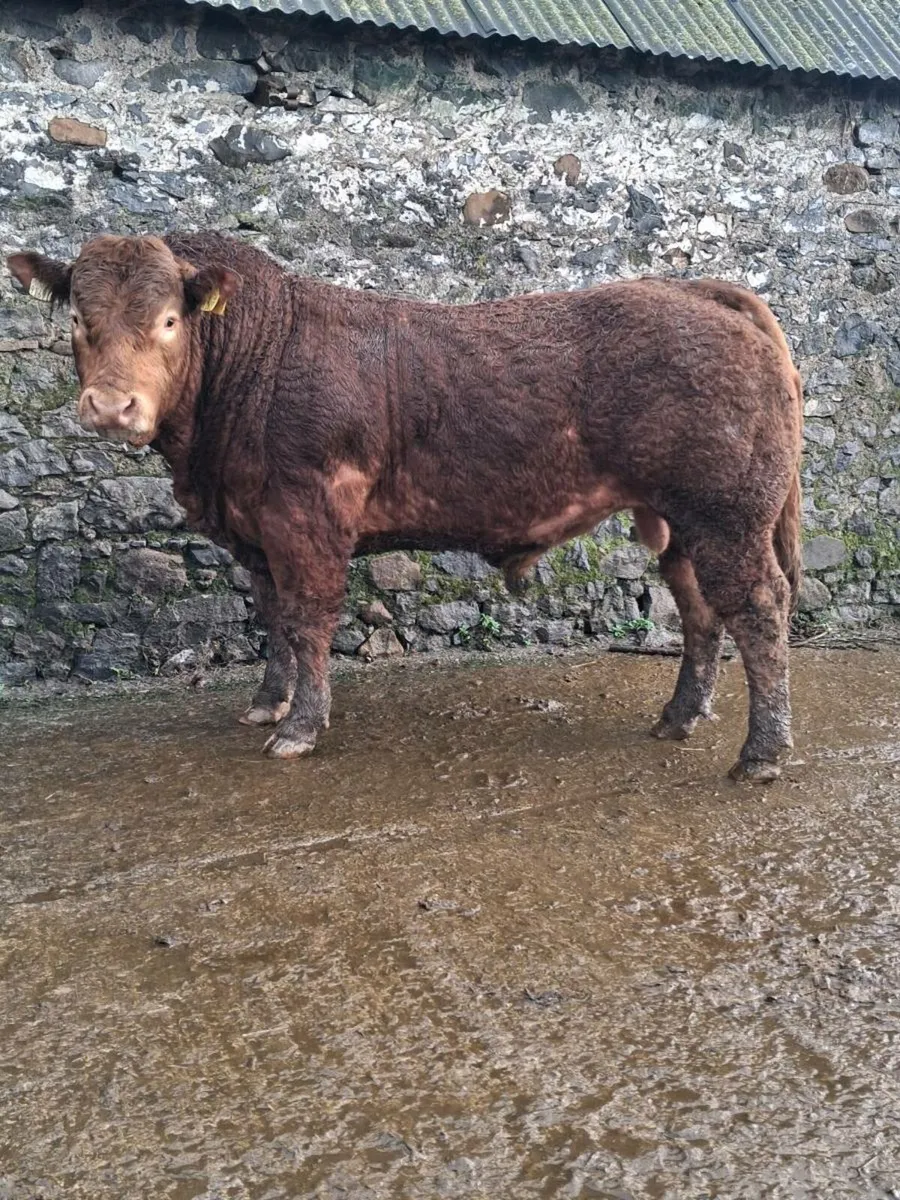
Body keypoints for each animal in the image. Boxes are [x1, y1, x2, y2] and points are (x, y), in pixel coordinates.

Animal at [7, 233, 803, 781]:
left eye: (170, 320)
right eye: (78, 318)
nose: (111, 406)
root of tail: (701, 291)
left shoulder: (306, 517)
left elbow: (307, 620)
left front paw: (300, 727)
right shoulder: (257, 532)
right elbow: (273, 618)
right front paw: (269, 701)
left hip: (729, 515)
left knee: (760, 608)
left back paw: (761, 753)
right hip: (680, 522)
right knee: (700, 611)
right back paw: (679, 717)